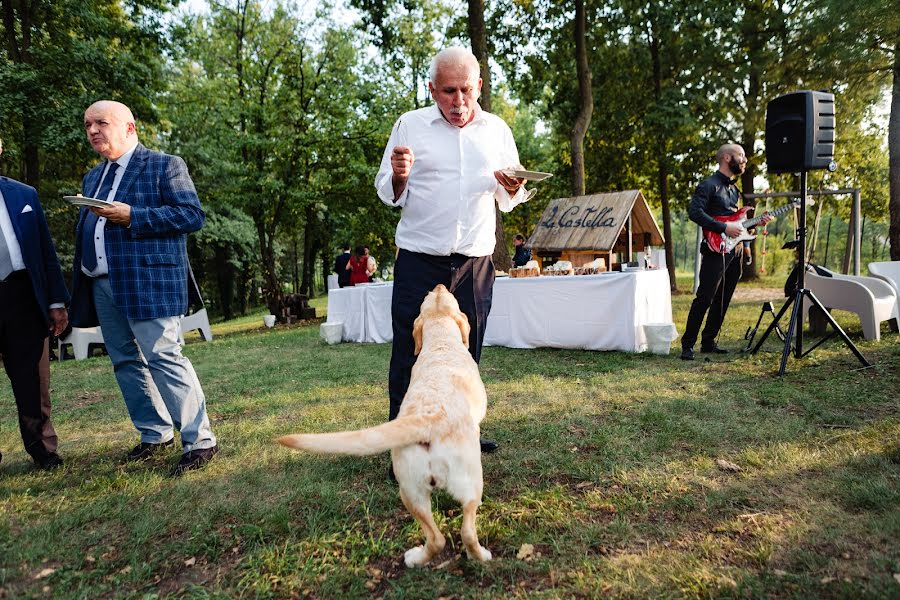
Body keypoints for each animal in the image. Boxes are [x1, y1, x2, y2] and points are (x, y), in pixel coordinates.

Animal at [280, 284, 492, 568]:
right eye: (447, 298)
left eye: (433, 298)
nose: (438, 286)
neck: (440, 341)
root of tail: (428, 419)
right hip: (469, 483)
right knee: (467, 530)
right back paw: (480, 556)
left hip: (410, 489)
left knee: (436, 538)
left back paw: (416, 559)